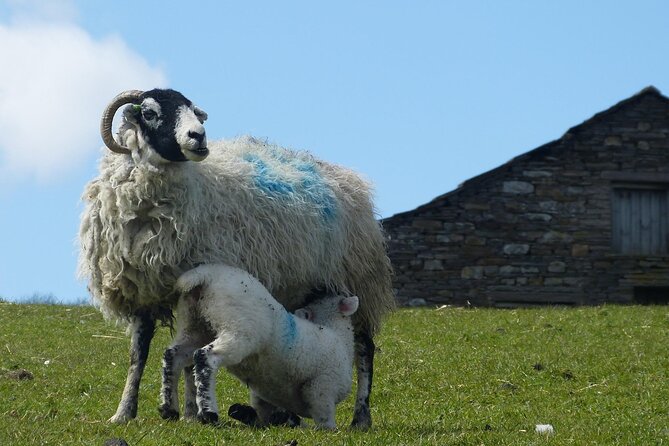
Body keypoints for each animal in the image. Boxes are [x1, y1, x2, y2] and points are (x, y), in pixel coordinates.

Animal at [160, 264, 360, 430]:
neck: (335, 334)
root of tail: (204, 276)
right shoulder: (321, 386)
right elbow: (322, 416)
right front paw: (329, 430)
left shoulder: (264, 398)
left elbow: (268, 414)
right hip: (239, 330)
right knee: (205, 357)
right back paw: (208, 413)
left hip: (195, 326)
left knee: (173, 356)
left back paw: (168, 409)